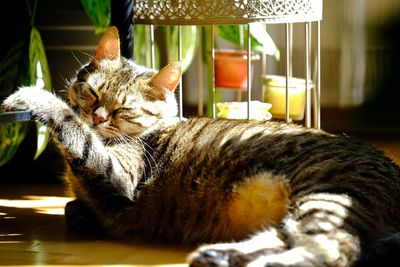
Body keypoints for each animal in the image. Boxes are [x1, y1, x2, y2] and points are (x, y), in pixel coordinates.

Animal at [3, 25, 400, 267]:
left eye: (123, 109)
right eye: (92, 92)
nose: (98, 118)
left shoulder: (118, 178)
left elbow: (70, 124)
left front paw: (31, 95)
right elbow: (75, 205)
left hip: (327, 198)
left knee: (332, 250)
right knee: (285, 238)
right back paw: (220, 255)